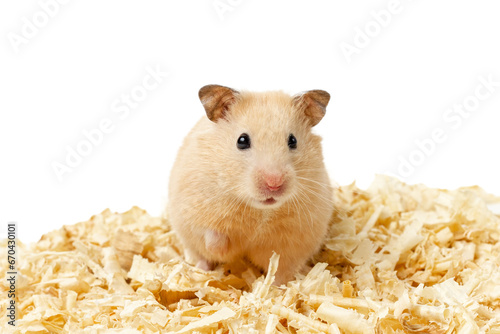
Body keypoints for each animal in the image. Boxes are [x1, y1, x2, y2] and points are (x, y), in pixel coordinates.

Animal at [169, 84, 336, 284]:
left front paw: (278, 285)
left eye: (293, 141)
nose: (274, 183)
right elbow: (211, 234)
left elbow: (281, 263)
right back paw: (202, 270)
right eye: (242, 140)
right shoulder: (193, 209)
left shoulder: (297, 235)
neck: (260, 211)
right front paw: (223, 250)